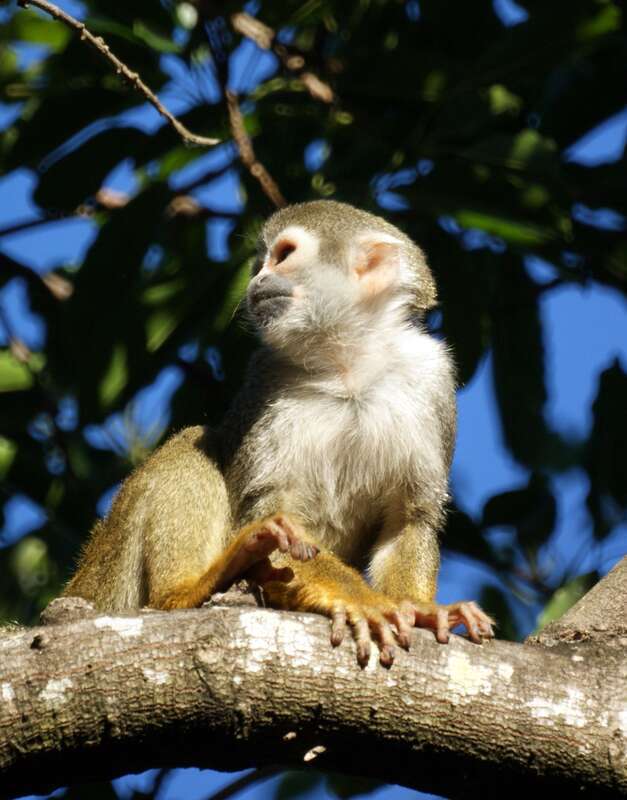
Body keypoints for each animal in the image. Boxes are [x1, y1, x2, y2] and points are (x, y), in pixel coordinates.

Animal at [64, 200, 494, 666]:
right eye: (259, 263)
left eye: (283, 255)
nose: (256, 281)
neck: (348, 367)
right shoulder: (265, 380)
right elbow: (273, 515)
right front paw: (362, 599)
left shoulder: (433, 377)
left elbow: (409, 518)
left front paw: (422, 609)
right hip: (106, 571)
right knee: (193, 445)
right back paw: (187, 591)